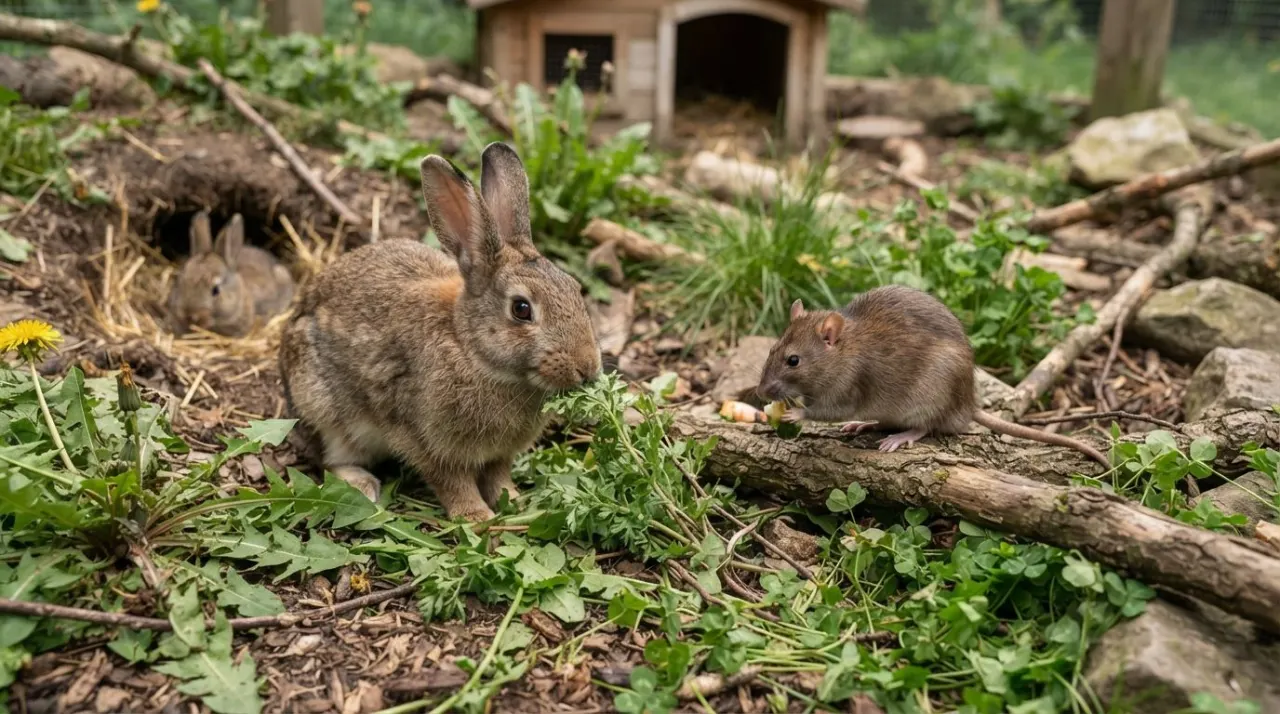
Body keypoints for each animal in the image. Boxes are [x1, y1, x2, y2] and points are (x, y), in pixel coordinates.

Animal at [279, 141, 602, 521]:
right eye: (522, 309)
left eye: (575, 288)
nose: (588, 368)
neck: (471, 349)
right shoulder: (423, 438)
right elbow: (452, 481)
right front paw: (477, 518)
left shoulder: (499, 454)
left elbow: (498, 474)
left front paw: (514, 500)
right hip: (325, 409)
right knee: (331, 458)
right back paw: (362, 485)